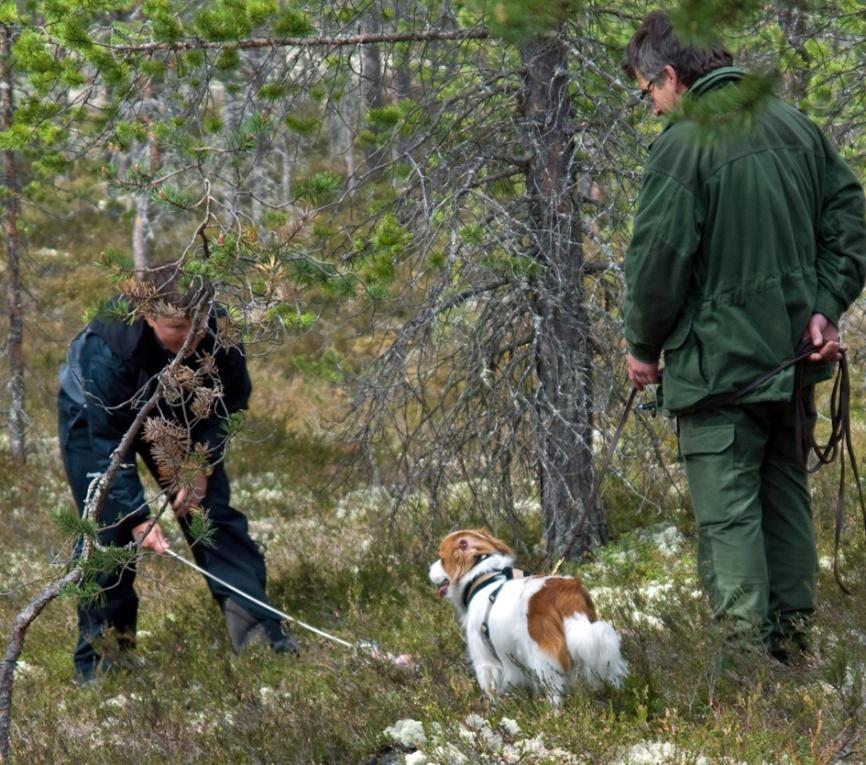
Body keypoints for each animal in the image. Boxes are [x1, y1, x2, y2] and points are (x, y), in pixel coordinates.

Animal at [428, 528, 624, 700]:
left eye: (442, 559)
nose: (428, 570)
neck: (482, 577)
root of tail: (563, 592)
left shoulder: (484, 660)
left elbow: (491, 691)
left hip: (543, 660)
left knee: (555, 694)